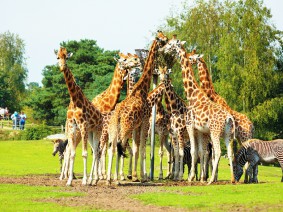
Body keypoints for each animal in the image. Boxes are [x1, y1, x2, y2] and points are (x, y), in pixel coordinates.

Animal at [106, 30, 169, 185]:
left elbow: (135, 148)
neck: (142, 90)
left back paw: (109, 179)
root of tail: (117, 116)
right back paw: (116, 179)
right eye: (161, 38)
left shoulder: (136, 125)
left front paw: (135, 176)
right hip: (125, 128)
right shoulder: (144, 121)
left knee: (112, 148)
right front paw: (143, 177)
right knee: (120, 146)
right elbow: (141, 149)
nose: (167, 40)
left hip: (114, 130)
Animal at [161, 36, 236, 186]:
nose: (163, 49)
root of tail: (228, 118)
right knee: (229, 152)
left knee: (218, 152)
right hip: (227, 134)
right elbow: (200, 152)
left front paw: (190, 177)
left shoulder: (190, 127)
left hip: (215, 132)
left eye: (171, 44)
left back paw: (212, 179)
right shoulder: (200, 131)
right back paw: (232, 179)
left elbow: (193, 152)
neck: (192, 96)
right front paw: (199, 177)